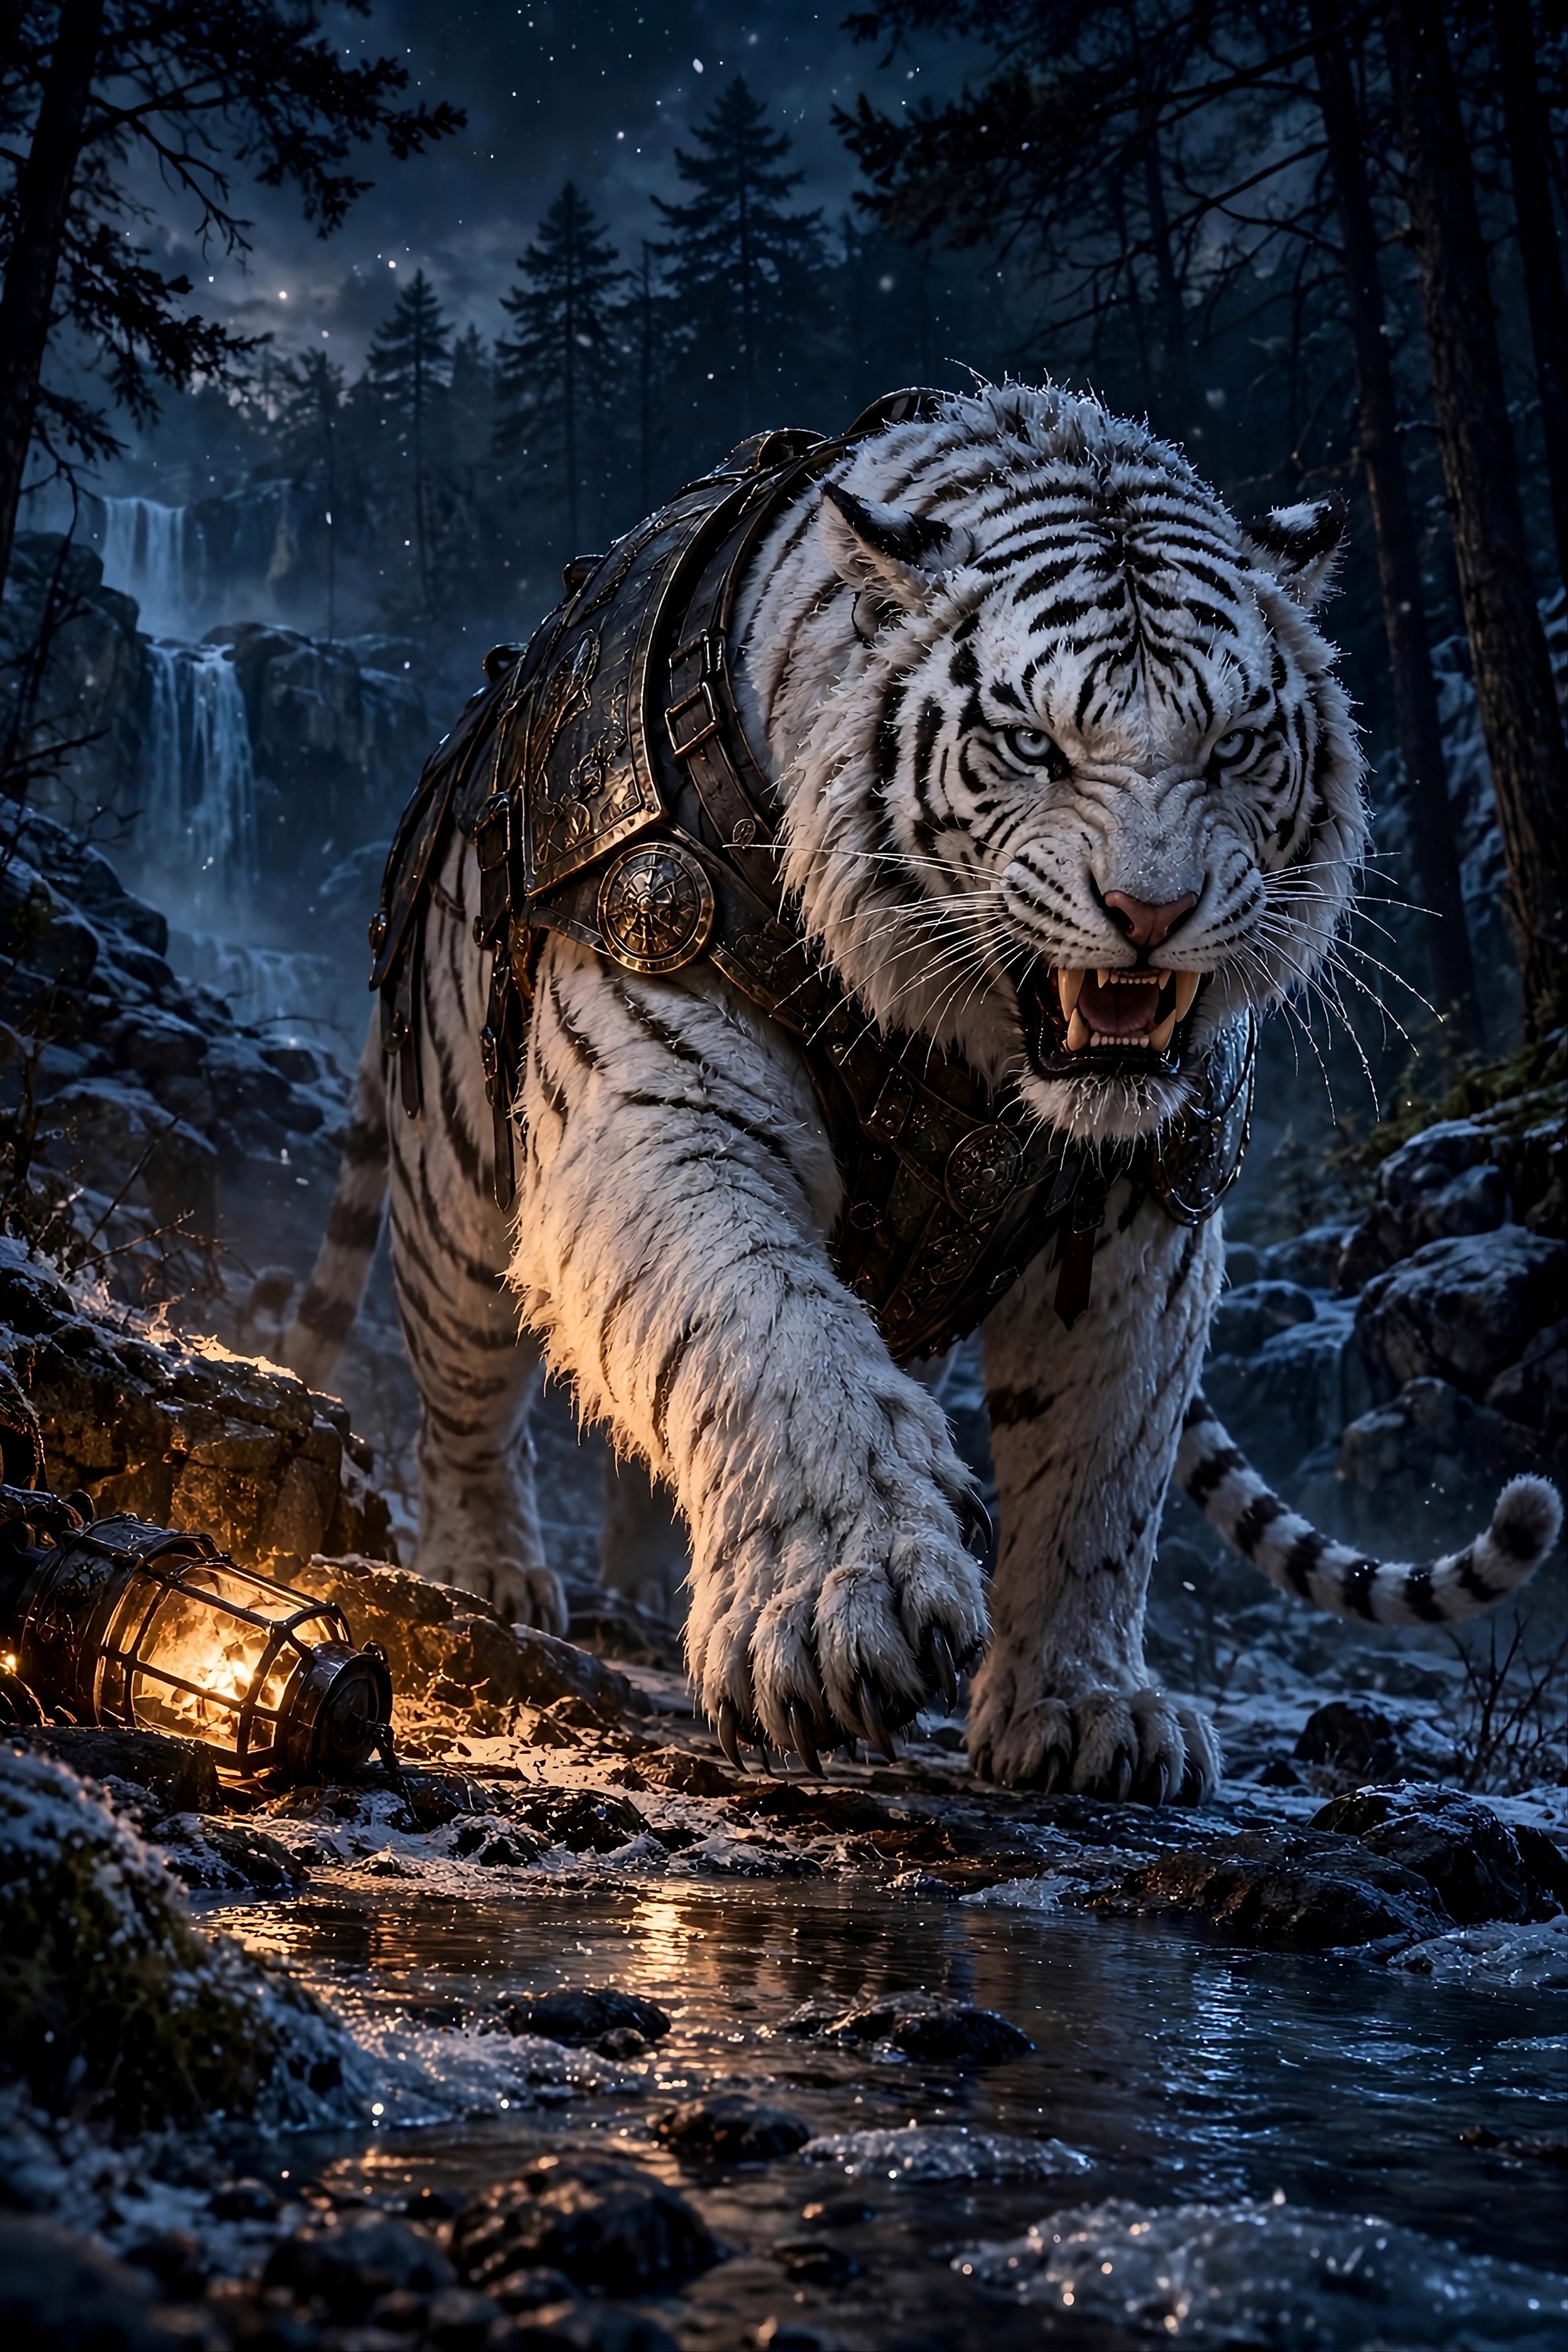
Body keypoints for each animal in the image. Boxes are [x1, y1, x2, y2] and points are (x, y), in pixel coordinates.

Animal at [285, 382, 1560, 1801]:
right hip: (456, 1162)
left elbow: (1099, 1470)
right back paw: (486, 1573)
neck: (978, 1047)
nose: (1152, 912)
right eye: (1033, 747)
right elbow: (767, 1340)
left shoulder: (1145, 1220)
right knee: (463, 1375)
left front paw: (1083, 1710)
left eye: (1232, 749)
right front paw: (841, 1612)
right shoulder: (664, 1104)